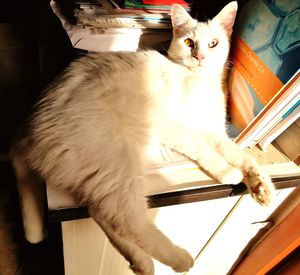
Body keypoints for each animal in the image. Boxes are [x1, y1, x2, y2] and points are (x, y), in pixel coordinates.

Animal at [11, 2, 274, 275]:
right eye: (189, 42)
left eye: (213, 43)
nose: (199, 57)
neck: (199, 81)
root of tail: (27, 130)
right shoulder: (174, 126)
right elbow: (205, 151)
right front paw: (228, 172)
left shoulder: (213, 131)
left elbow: (240, 155)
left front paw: (260, 186)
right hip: (116, 160)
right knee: (124, 217)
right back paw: (179, 259)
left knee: (99, 211)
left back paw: (141, 262)